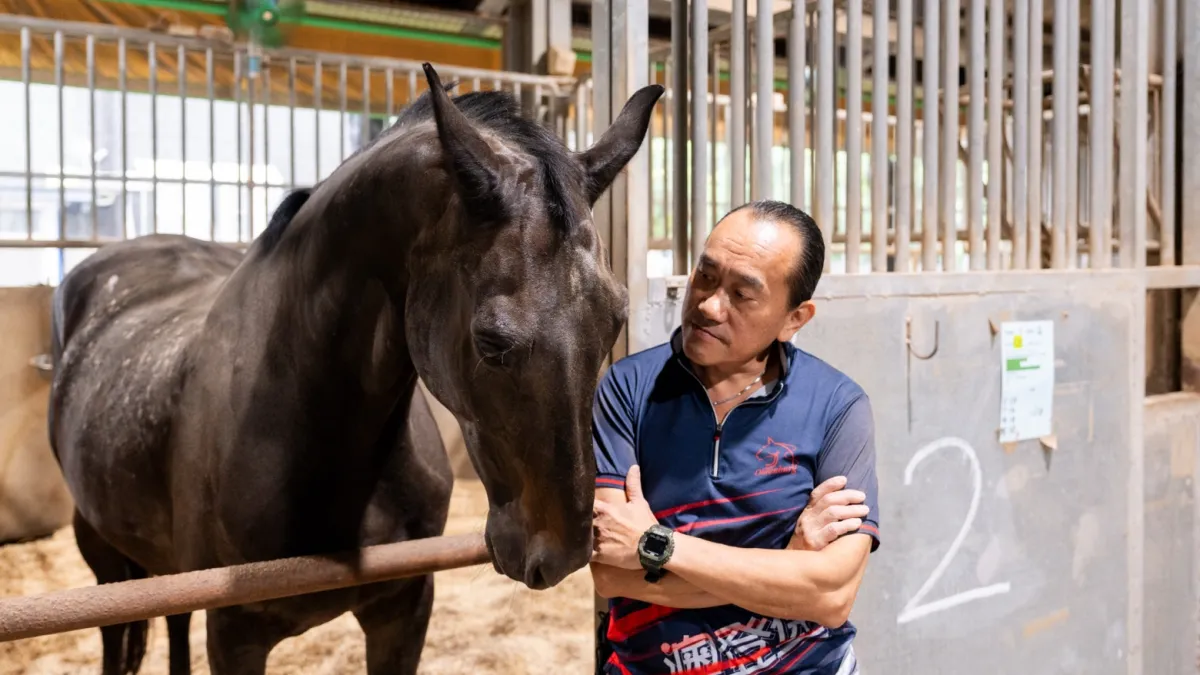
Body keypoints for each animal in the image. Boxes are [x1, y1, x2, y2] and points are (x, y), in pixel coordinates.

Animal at [47, 63, 664, 675]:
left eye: (615, 318)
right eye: (490, 342)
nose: (560, 554)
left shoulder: (403, 612)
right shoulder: (234, 633)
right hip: (103, 554)